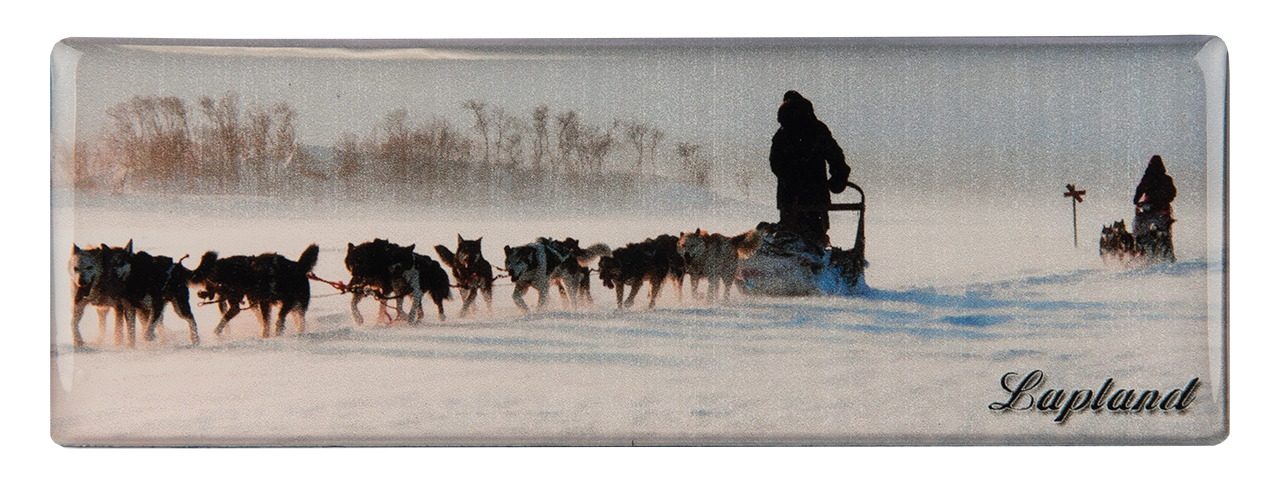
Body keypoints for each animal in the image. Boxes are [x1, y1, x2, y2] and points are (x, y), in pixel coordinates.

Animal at [190, 242, 318, 335]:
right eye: (205, 281)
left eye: (208, 280)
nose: (200, 293)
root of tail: (299, 265)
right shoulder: (260, 302)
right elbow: (264, 322)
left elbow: (274, 320)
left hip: (297, 303)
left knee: (297, 319)